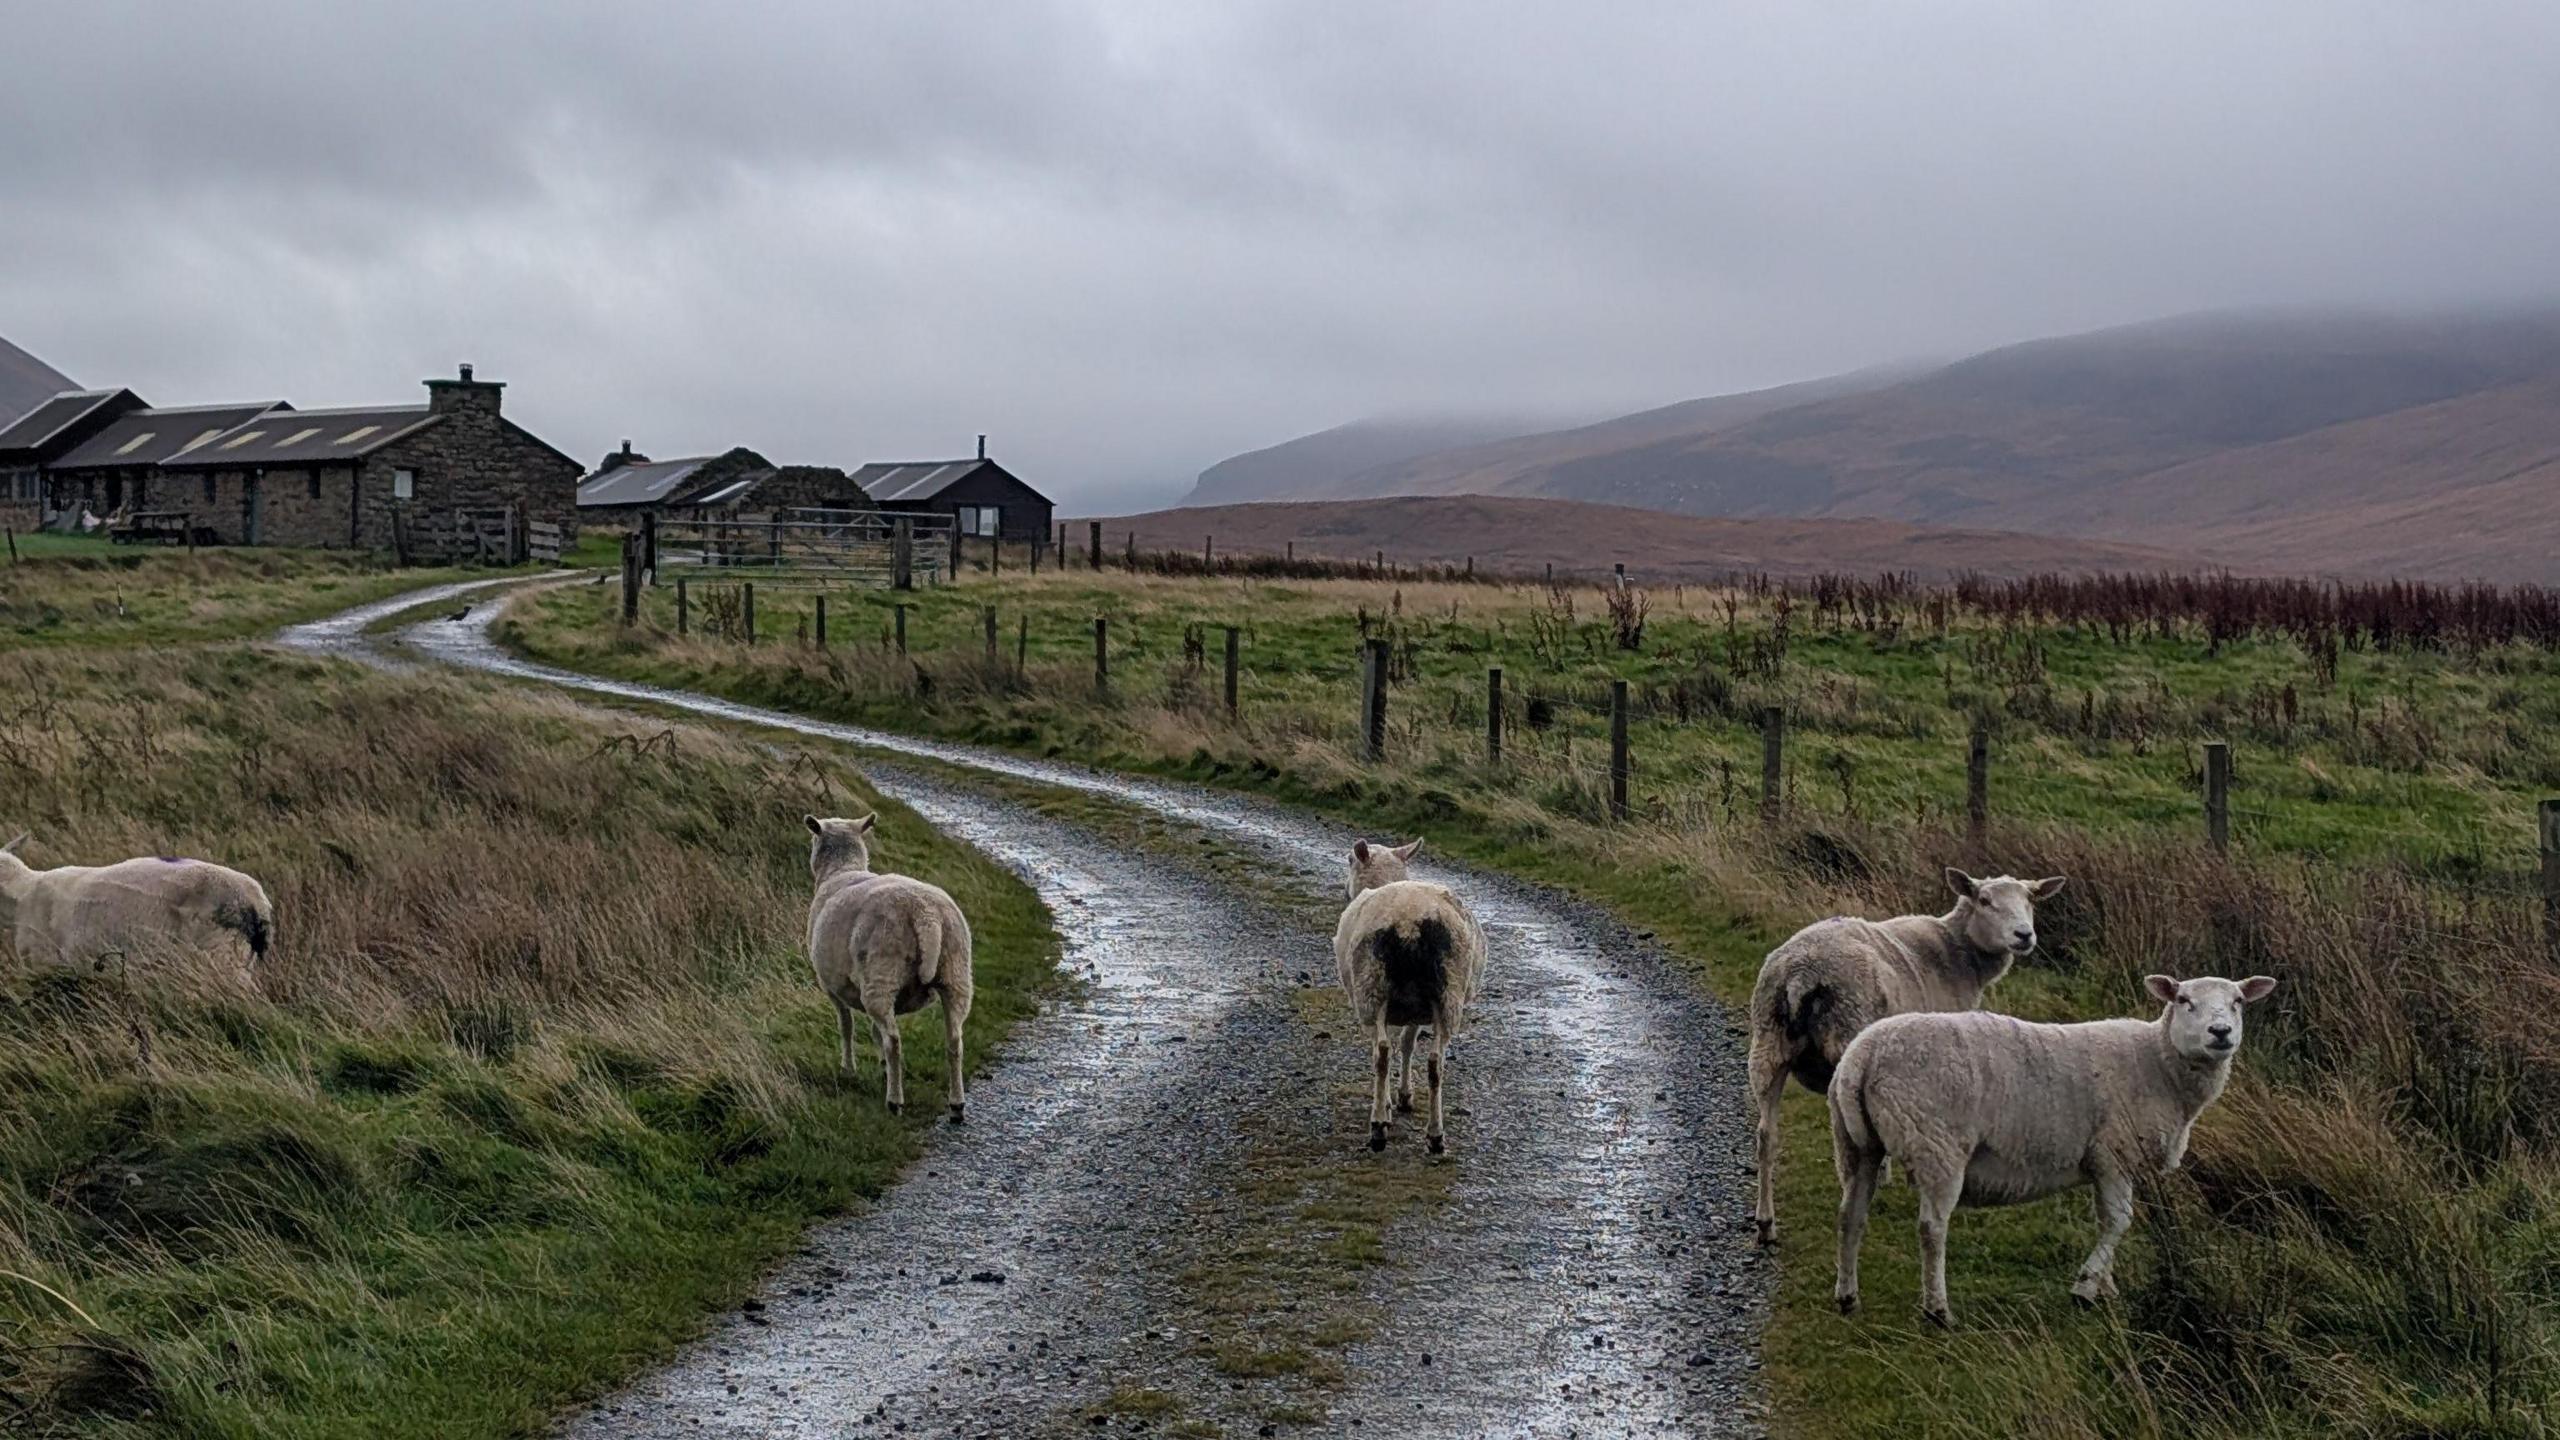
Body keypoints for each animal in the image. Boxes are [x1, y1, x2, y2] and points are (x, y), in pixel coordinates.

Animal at [803, 814, 972, 1117]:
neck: (841, 870)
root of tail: (926, 914)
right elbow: (874, 1030)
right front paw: (881, 1065)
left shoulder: (831, 985)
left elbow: (846, 1026)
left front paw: (848, 1068)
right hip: (956, 974)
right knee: (954, 1041)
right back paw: (956, 1104)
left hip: (882, 973)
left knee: (895, 1041)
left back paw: (894, 1101)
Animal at [1331, 835, 1495, 1147]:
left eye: (1348, 860)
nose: (1343, 891)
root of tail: (1408, 921)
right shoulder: (1415, 1008)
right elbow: (1406, 1044)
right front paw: (1400, 1099)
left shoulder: (1402, 1010)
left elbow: (1401, 1044)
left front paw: (1395, 1101)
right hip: (1447, 998)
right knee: (1435, 1063)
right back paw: (1435, 1135)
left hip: (1372, 989)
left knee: (1381, 1053)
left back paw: (1379, 1126)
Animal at [1740, 860, 2058, 1245]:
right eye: (1984, 900)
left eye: (2030, 900)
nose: (2023, 935)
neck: (1957, 953)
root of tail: (1801, 974)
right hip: (1847, 1032)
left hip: (1767, 1044)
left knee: (1765, 1136)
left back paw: (1765, 1223)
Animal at [1822, 963, 2283, 1322]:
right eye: (2185, 999)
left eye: (2238, 1001)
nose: (2220, 1032)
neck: (2158, 1062)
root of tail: (1863, 1054)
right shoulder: (2113, 1152)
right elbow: (2119, 1221)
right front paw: (2085, 1287)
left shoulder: (2108, 1162)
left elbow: (2106, 1220)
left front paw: (2105, 1287)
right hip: (1937, 1144)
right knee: (1931, 1228)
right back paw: (1937, 1310)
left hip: (1856, 1143)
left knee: (1850, 1215)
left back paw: (1847, 1296)